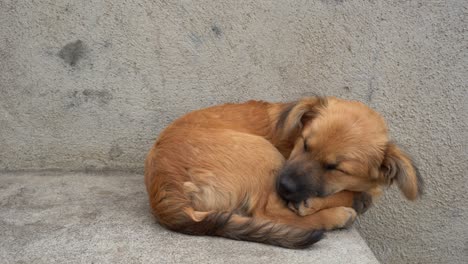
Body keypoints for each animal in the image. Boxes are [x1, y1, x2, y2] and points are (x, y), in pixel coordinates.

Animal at [144, 96, 422, 248]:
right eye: (305, 144)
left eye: (335, 168)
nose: (284, 186)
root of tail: (164, 188)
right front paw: (339, 201)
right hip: (261, 151)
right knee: (268, 214)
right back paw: (338, 215)